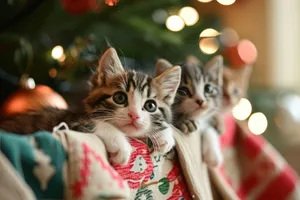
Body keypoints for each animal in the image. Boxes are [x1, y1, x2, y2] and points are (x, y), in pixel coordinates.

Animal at [0, 47, 182, 165]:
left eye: (150, 106)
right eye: (119, 98)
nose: (134, 115)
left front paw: (163, 135)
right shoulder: (68, 122)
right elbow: (96, 122)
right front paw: (120, 145)